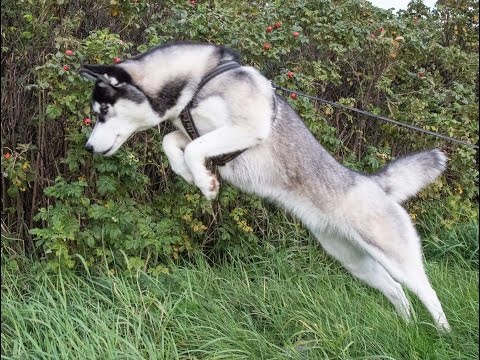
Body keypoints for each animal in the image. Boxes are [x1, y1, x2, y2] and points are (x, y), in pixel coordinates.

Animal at [79, 40, 450, 330]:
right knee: (396, 290)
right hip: (353, 259)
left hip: (394, 254)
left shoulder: (247, 127)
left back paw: (442, 334)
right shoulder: (191, 132)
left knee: (428, 292)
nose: (88, 148)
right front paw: (190, 175)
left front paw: (206, 184)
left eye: (103, 111)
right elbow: (172, 143)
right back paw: (406, 325)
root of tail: (370, 182)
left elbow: (195, 147)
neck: (199, 81)